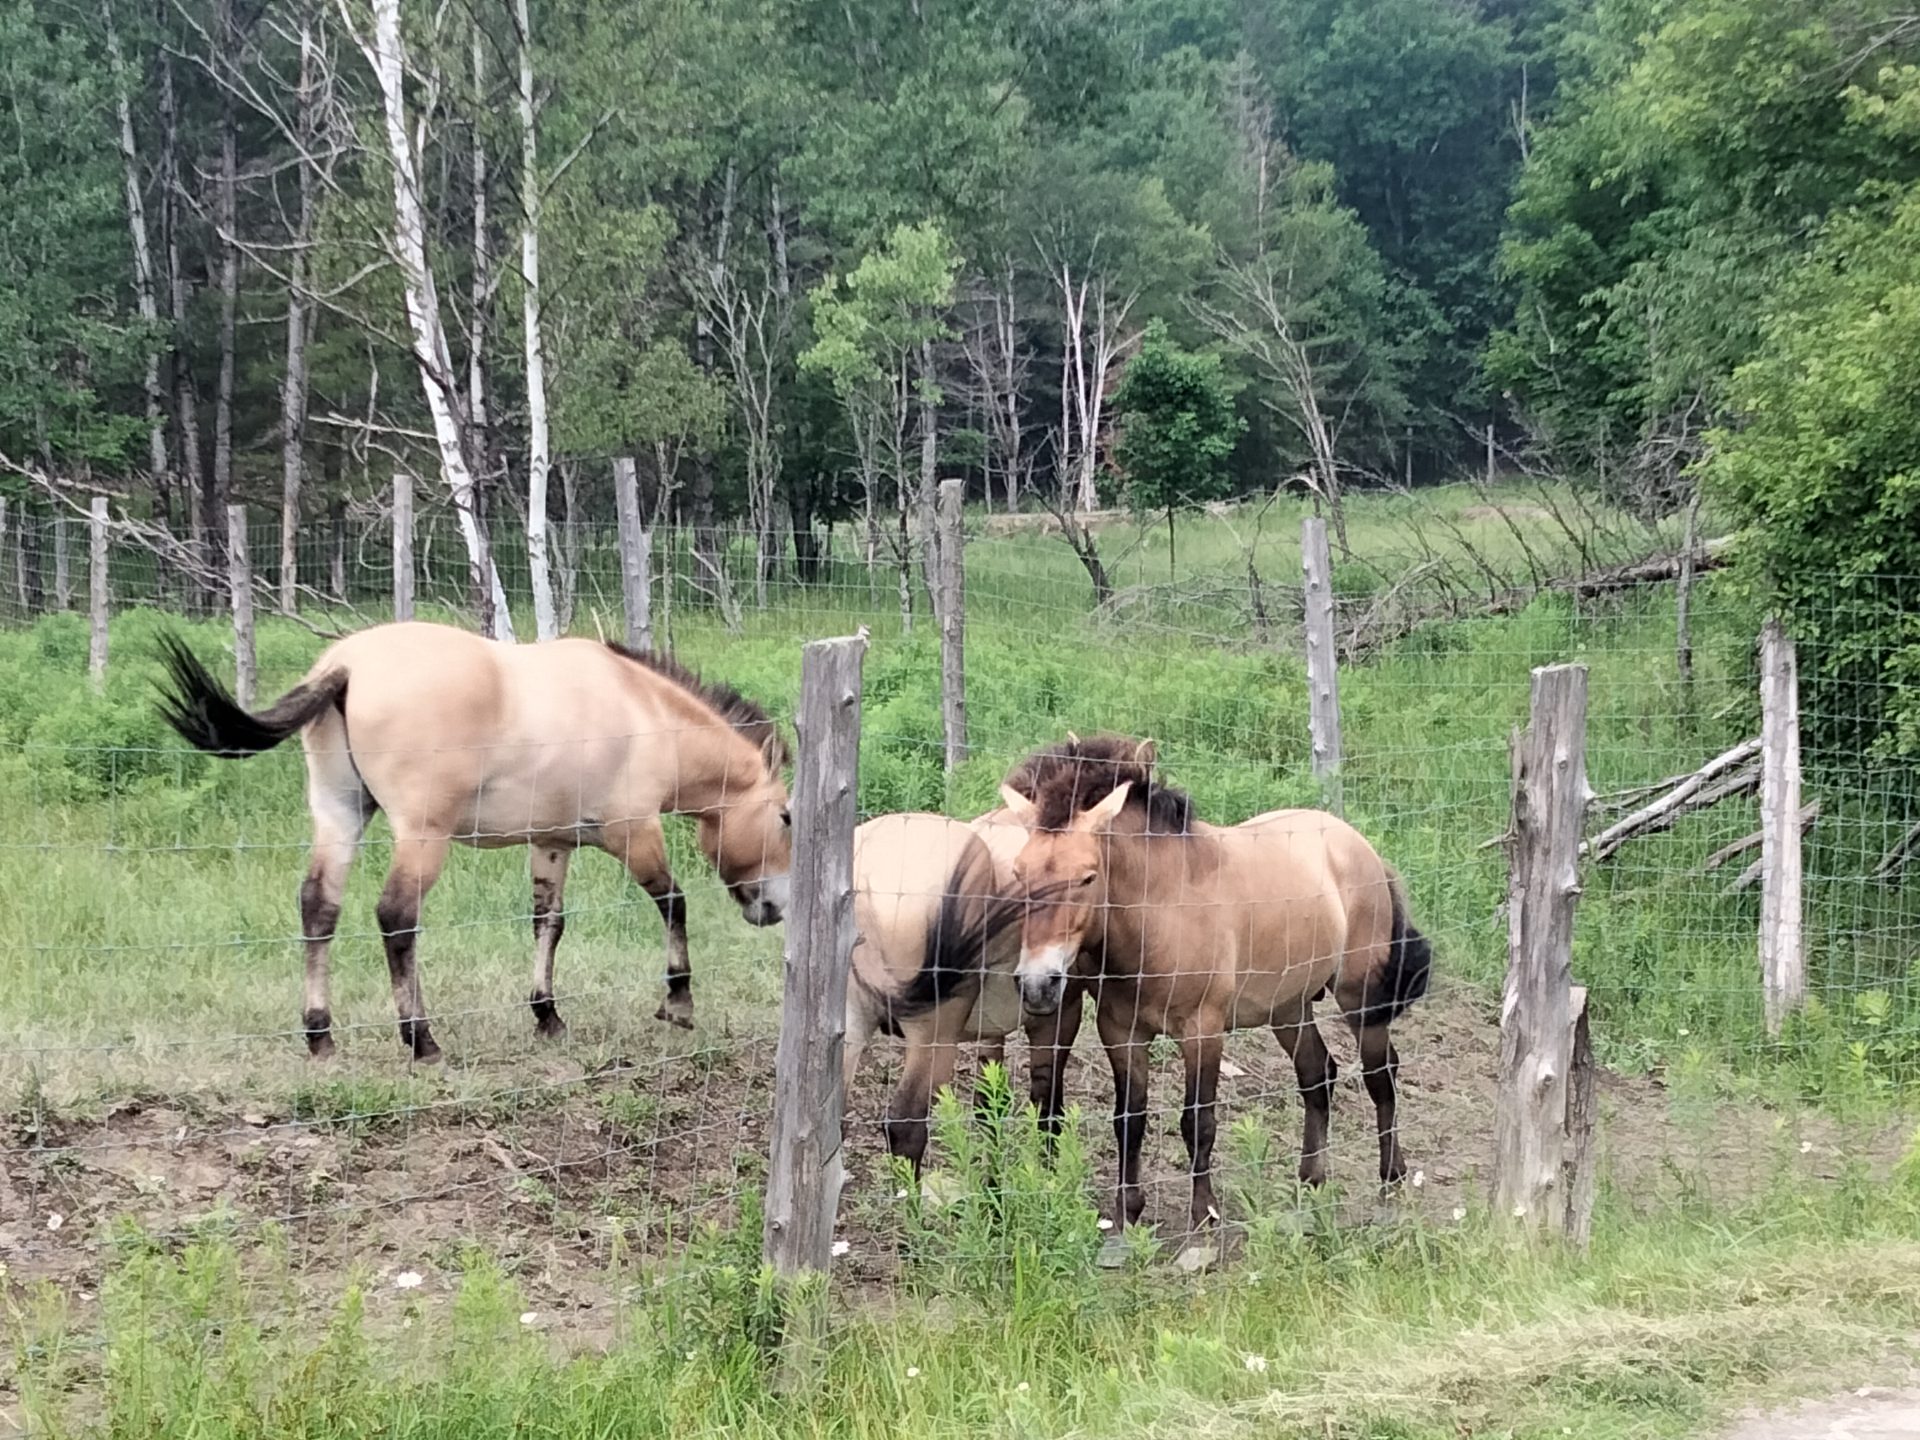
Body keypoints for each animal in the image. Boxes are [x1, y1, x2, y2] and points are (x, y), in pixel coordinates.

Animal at [153, 622, 791, 1059]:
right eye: (786, 815)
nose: (775, 908)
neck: (644, 710)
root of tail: (346, 665)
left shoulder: (552, 842)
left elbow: (548, 924)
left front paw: (547, 1016)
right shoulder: (634, 833)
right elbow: (673, 903)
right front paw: (678, 1003)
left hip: (339, 815)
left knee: (319, 907)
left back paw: (320, 1035)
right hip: (422, 836)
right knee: (396, 917)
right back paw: (421, 1040)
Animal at [1006, 744, 1428, 1228]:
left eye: (1088, 876)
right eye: (1018, 873)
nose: (1038, 983)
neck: (1163, 911)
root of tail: (1362, 847)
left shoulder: (1202, 1032)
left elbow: (1198, 1122)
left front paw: (1204, 1212)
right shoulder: (1121, 1032)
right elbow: (1129, 1118)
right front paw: (1127, 1212)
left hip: (1358, 1001)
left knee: (1381, 1074)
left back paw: (1391, 1178)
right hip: (1289, 1008)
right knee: (1317, 1074)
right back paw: (1311, 1180)